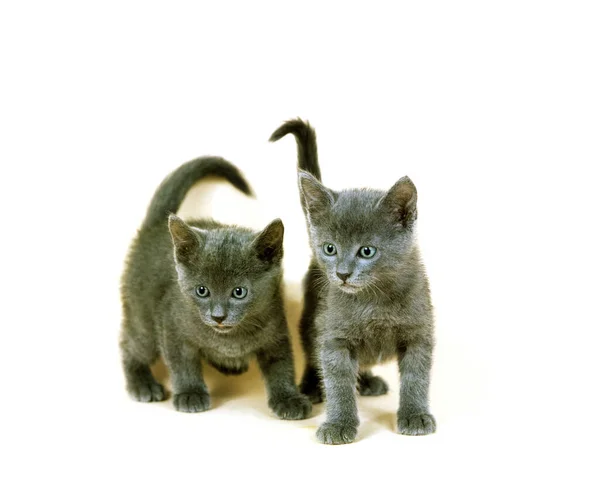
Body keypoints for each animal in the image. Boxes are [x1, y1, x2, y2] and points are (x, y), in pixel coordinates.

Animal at [272, 118, 436, 442]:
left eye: (367, 251)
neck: (374, 299)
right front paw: (339, 423)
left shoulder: (419, 332)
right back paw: (311, 386)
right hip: (313, 314)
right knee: (311, 350)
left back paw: (368, 379)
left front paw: (415, 415)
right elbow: (337, 383)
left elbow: (416, 377)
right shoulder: (334, 335)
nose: (342, 274)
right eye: (330, 248)